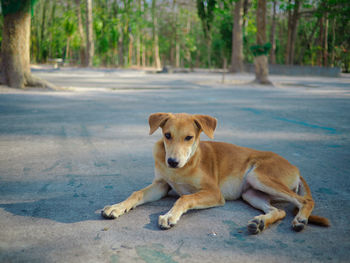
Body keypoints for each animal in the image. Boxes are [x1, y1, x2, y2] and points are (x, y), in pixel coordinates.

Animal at [102, 112, 330, 234]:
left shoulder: (214, 193)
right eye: (167, 135)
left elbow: (185, 198)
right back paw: (260, 222)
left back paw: (300, 220)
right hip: (251, 192)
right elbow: (137, 194)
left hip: (259, 175)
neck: (186, 165)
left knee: (305, 201)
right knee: (279, 211)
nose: (172, 162)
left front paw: (169, 215)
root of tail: (295, 167)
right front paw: (117, 207)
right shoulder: (161, 185)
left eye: (189, 137)